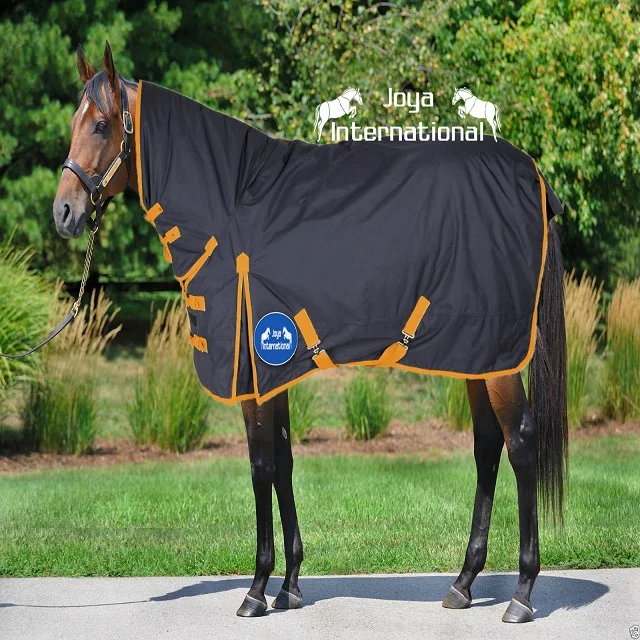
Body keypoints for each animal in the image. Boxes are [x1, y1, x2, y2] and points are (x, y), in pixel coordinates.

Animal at [53, 43, 568, 624]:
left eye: (100, 125)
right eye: (73, 123)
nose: (64, 212)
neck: (231, 206)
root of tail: (533, 179)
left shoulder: (251, 372)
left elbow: (260, 466)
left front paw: (256, 590)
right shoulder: (272, 368)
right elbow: (284, 462)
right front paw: (290, 585)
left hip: (498, 358)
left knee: (520, 443)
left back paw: (522, 593)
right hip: (477, 354)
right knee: (486, 446)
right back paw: (463, 582)